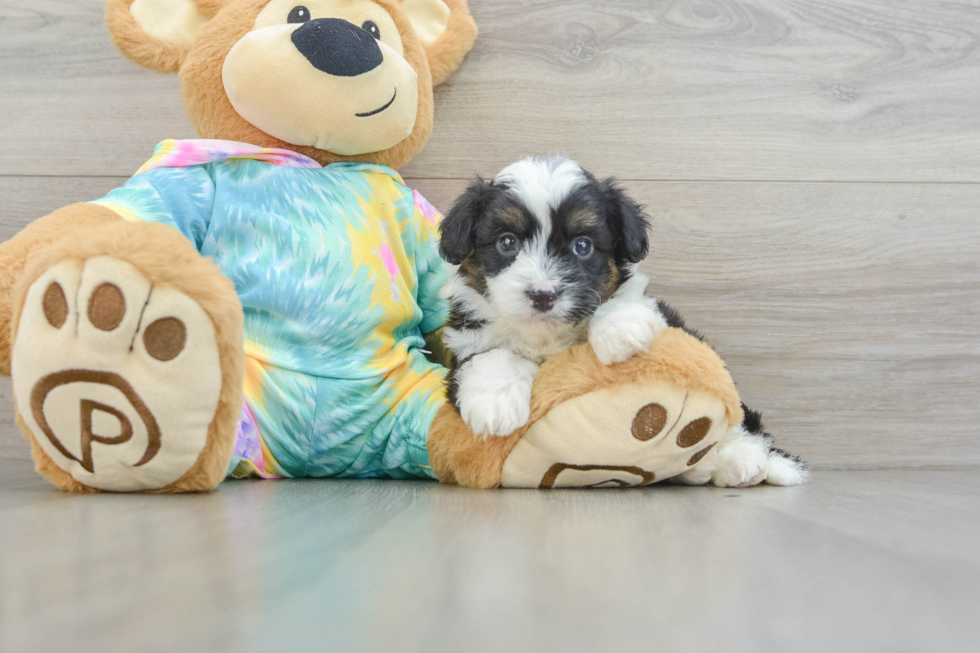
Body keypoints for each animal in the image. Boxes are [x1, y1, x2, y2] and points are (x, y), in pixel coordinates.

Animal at [440, 155, 808, 486]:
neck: (546, 336)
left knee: (742, 423)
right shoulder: (465, 343)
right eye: (507, 242)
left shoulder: (663, 318)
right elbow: (492, 356)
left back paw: (745, 461)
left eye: (583, 246)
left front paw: (620, 330)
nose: (543, 295)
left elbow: (622, 301)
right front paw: (495, 404)